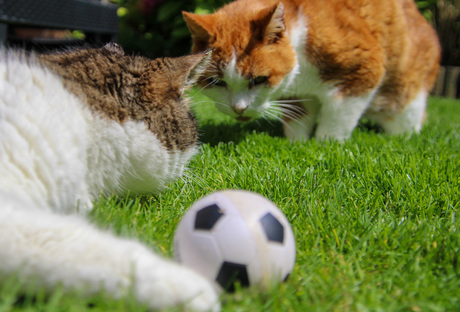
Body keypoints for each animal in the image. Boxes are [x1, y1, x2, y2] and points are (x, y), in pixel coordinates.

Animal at [181, 0, 440, 141]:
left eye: (259, 79)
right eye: (216, 82)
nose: (239, 109)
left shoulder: (364, 68)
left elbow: (337, 120)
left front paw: (325, 144)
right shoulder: (294, 92)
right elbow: (298, 117)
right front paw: (297, 143)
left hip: (406, 94)